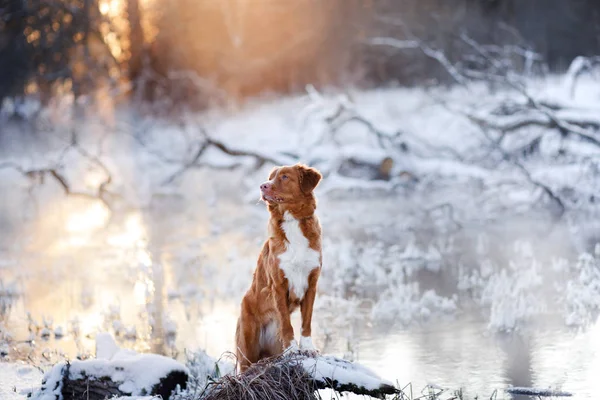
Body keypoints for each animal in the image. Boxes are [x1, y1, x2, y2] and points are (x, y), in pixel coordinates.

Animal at [234, 162, 324, 372]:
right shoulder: (279, 285)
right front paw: (292, 350)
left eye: (284, 177)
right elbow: (286, 323)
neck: (293, 220)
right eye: (270, 177)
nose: (263, 186)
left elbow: (306, 322)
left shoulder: (311, 283)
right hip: (247, 345)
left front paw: (307, 348)